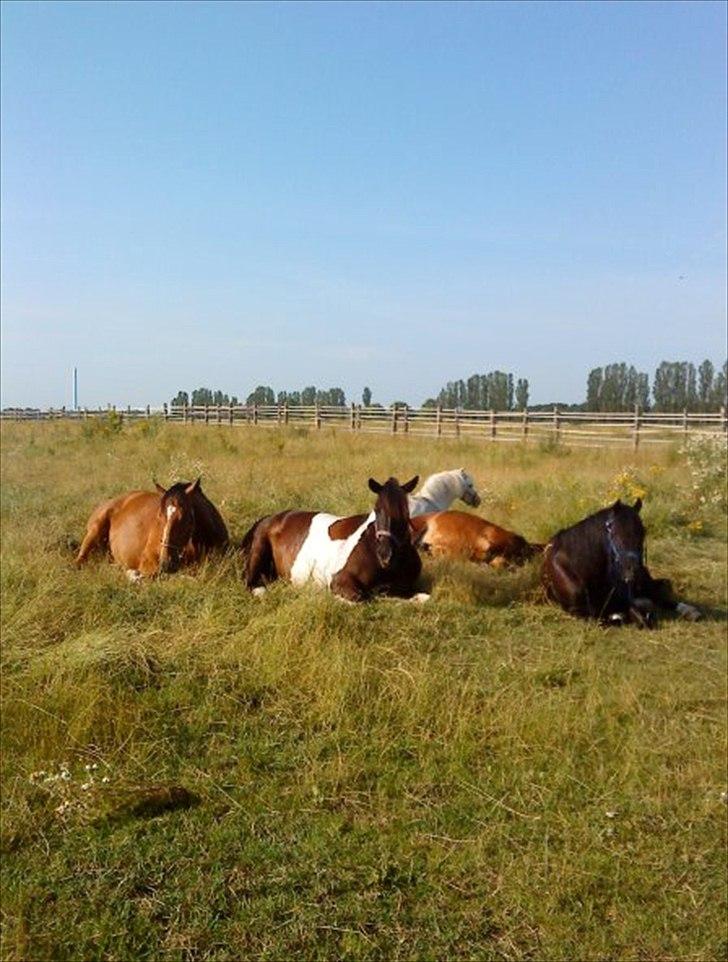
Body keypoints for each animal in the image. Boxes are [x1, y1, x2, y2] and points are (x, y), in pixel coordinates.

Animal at [242, 474, 430, 600]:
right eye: (377, 510)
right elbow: (360, 597)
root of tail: (271, 518)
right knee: (249, 582)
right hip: (258, 550)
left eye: (405, 512)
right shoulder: (340, 580)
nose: (385, 555)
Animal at [544, 498, 700, 628]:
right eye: (614, 532)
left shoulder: (624, 599)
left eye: (643, 531)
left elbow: (641, 619)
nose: (633, 570)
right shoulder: (577, 612)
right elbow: (607, 620)